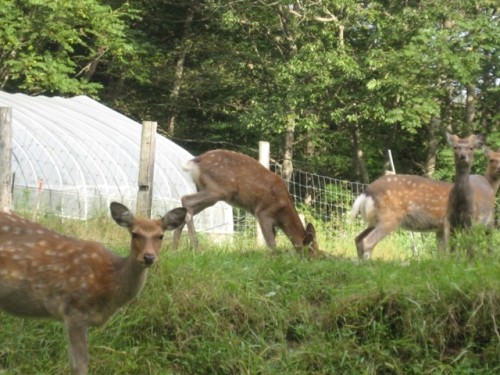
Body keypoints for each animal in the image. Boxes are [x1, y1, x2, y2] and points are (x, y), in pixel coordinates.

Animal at [0, 203, 188, 375]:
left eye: (161, 236)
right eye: (135, 234)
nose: (148, 257)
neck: (110, 284)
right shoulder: (75, 309)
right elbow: (80, 365)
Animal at [172, 150, 320, 258]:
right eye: (312, 253)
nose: (316, 260)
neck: (282, 213)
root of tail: (194, 162)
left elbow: (272, 238)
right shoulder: (263, 213)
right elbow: (272, 243)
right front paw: (273, 258)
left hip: (209, 192)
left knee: (187, 206)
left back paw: (175, 249)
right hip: (219, 189)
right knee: (186, 199)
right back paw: (196, 249)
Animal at [352, 133, 496, 262]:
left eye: (471, 148)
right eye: (455, 147)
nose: (463, 156)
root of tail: (366, 192)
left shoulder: (440, 227)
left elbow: (442, 252)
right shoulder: (450, 222)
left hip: (375, 220)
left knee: (358, 238)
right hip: (389, 217)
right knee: (368, 242)